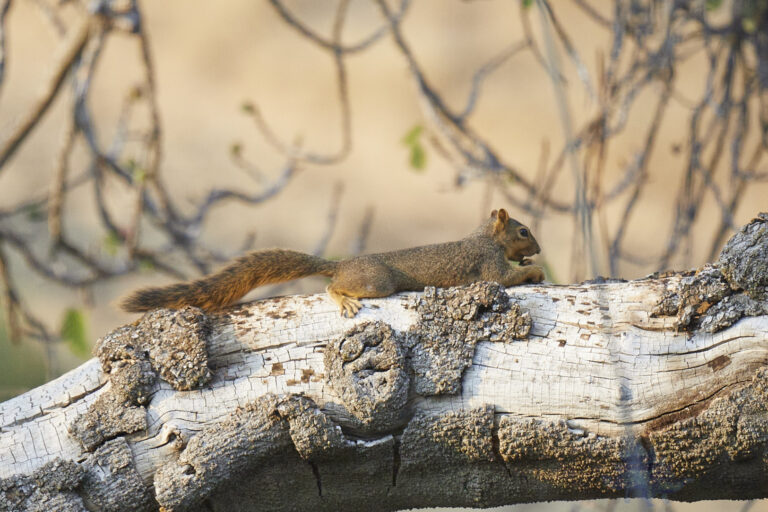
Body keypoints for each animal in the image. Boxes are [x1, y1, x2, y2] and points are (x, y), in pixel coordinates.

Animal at [120, 208, 545, 317]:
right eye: (524, 231)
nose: (539, 248)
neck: (485, 237)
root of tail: (339, 264)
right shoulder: (489, 265)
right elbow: (506, 278)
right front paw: (535, 270)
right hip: (376, 282)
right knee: (329, 286)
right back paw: (343, 299)